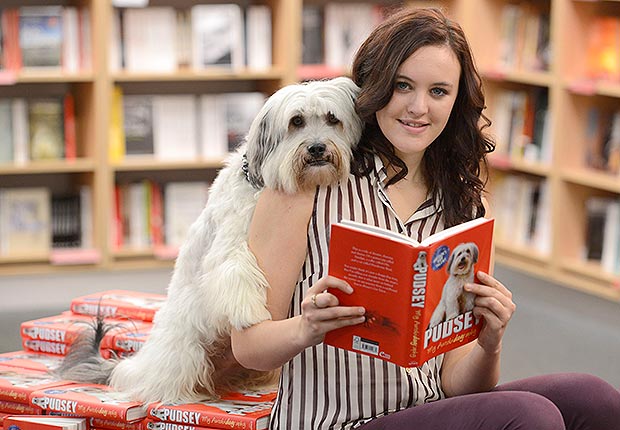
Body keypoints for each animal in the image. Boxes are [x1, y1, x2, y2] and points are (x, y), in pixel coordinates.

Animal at [57, 78, 364, 406]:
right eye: (297, 121)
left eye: (332, 119)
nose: (317, 148)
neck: (259, 183)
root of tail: (133, 367)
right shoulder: (227, 249)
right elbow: (236, 269)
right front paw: (249, 311)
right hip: (186, 350)